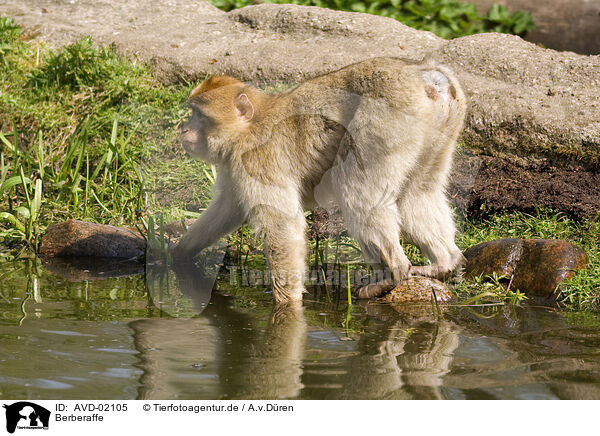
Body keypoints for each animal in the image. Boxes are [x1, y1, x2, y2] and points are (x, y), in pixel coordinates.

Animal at [171, 57, 466, 304]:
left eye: (200, 116)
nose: (184, 130)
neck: (251, 126)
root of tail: (423, 75)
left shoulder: (257, 160)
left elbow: (282, 226)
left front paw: (287, 305)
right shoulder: (237, 166)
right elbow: (227, 209)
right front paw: (177, 255)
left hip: (386, 122)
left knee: (356, 192)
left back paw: (393, 273)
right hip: (437, 134)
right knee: (417, 193)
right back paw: (445, 263)